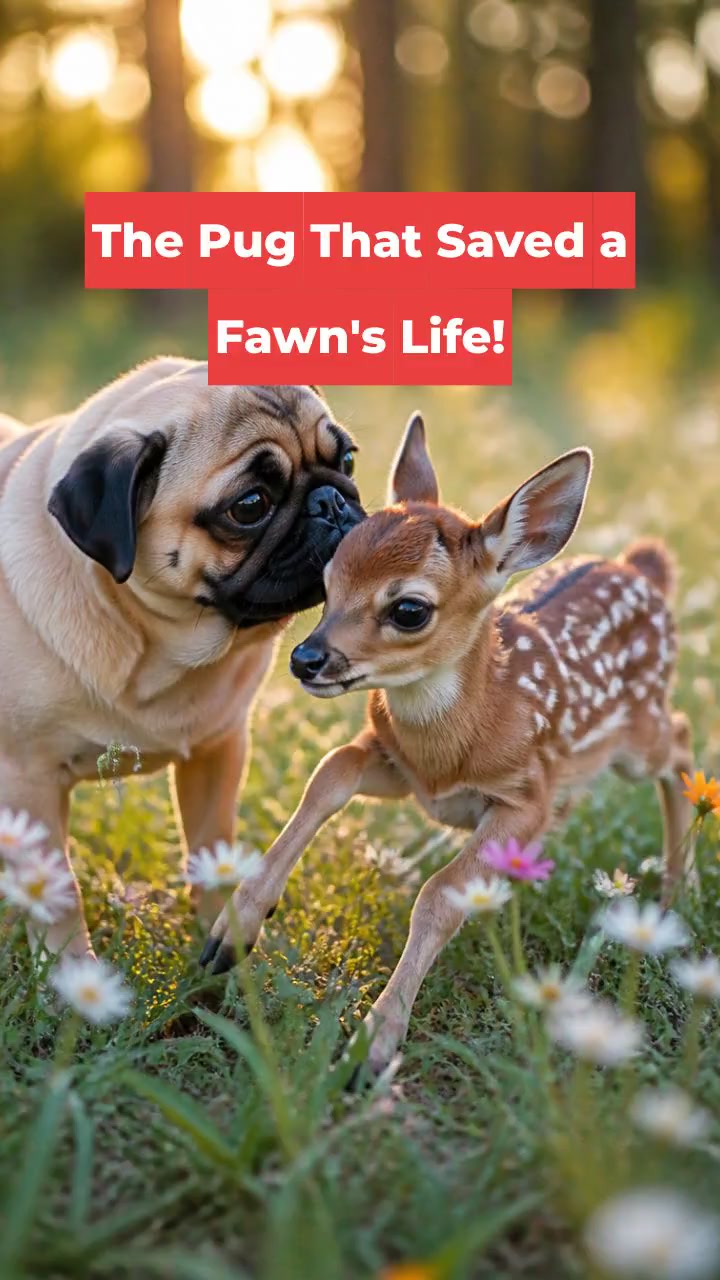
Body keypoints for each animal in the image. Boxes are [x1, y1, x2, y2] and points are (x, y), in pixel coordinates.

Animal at [200, 414, 694, 1076]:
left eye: (409, 609)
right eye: (327, 581)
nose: (306, 660)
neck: (457, 743)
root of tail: (643, 569)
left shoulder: (525, 797)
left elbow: (438, 895)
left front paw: (373, 1044)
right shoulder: (403, 772)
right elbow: (331, 771)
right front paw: (234, 930)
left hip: (638, 738)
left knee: (683, 740)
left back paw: (675, 892)